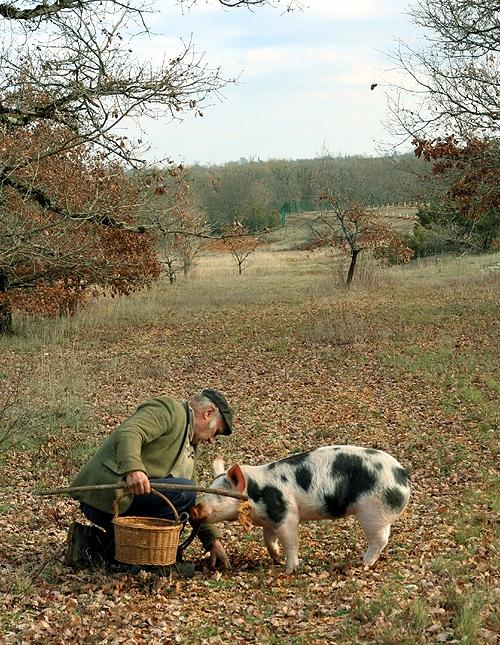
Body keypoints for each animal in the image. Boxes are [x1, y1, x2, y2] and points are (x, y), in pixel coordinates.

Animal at [190, 442, 410, 572]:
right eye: (207, 491)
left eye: (219, 495)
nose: (194, 509)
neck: (255, 493)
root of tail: (402, 473)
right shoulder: (269, 519)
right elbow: (268, 540)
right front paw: (276, 559)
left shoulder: (286, 515)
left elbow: (291, 542)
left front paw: (288, 569)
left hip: (373, 512)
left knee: (380, 540)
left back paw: (361, 564)